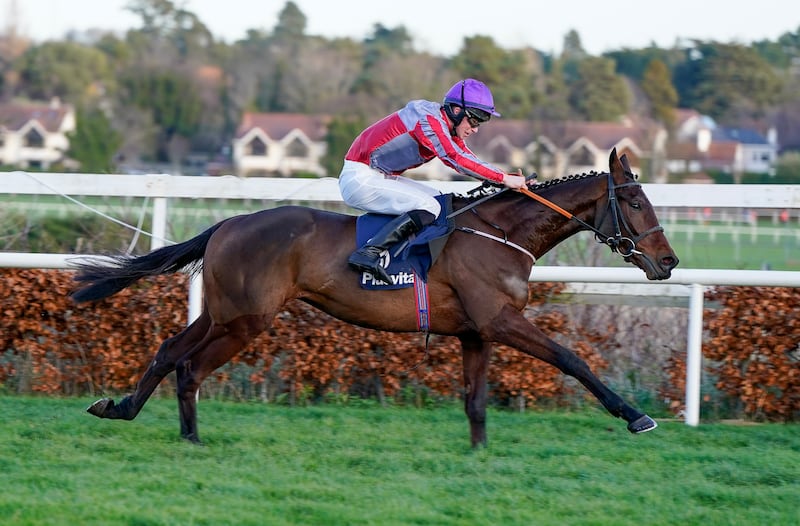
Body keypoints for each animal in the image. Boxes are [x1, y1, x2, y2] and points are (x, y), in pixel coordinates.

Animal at [72, 150, 680, 450]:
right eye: (636, 202)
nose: (668, 262)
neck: (499, 233)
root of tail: (227, 223)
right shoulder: (501, 320)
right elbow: (574, 360)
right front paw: (636, 416)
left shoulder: (476, 331)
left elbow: (476, 401)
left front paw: (479, 453)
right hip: (245, 319)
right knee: (190, 365)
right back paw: (191, 436)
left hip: (226, 313)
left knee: (171, 352)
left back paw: (125, 410)